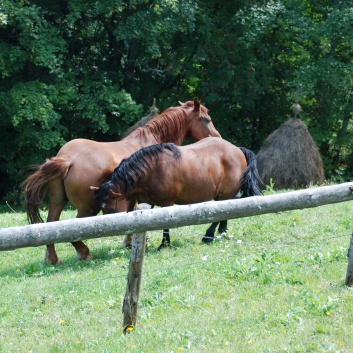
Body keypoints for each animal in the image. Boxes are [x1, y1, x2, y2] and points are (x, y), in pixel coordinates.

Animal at [22, 97, 220, 262]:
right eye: (207, 119)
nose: (217, 137)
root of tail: (68, 159)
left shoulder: (132, 196)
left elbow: (132, 214)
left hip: (57, 201)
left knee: (52, 224)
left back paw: (52, 258)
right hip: (88, 208)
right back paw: (84, 252)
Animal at [91, 136, 262, 249]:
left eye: (109, 207)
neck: (152, 170)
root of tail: (237, 149)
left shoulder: (167, 204)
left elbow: (165, 225)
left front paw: (164, 244)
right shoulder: (141, 201)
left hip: (225, 195)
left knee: (219, 215)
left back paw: (209, 235)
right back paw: (222, 233)